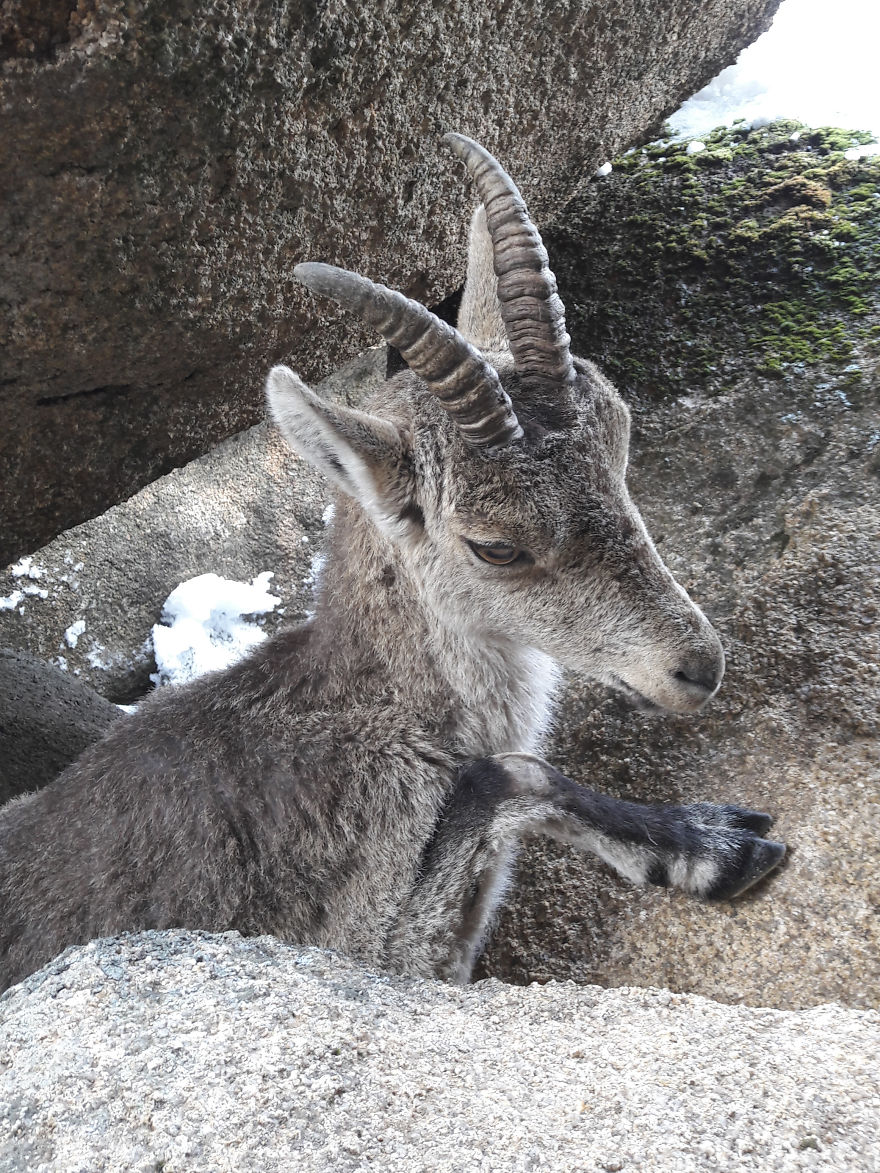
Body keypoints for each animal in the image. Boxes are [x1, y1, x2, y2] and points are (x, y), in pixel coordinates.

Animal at [0, 134, 785, 993]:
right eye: (495, 544)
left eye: (621, 445)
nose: (697, 665)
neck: (380, 715)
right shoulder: (369, 949)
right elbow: (515, 776)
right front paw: (717, 844)